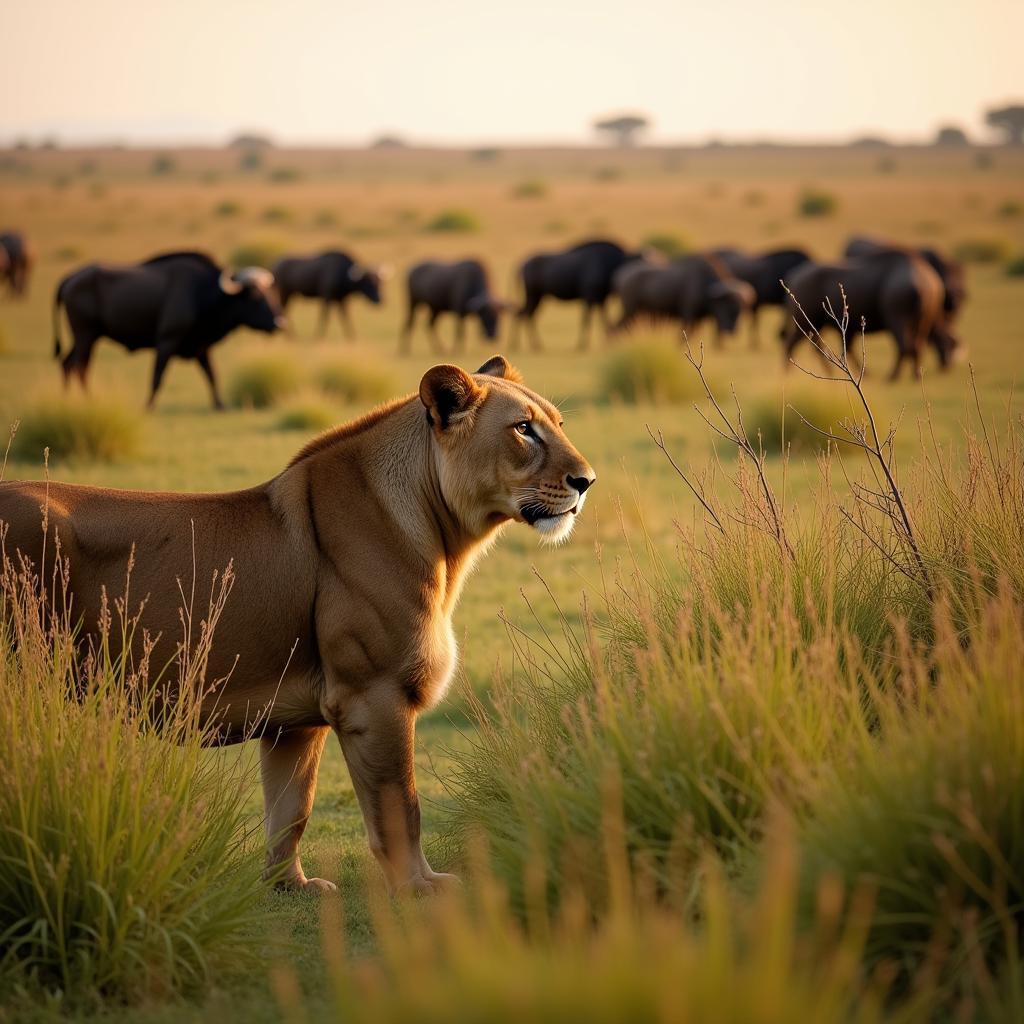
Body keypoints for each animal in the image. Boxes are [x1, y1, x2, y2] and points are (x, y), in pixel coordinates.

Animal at [54, 250, 286, 407]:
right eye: (255, 297)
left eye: (269, 293)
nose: (279, 323)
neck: (203, 294)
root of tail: (70, 278)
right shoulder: (166, 342)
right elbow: (157, 377)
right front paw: (148, 406)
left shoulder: (201, 347)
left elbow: (212, 375)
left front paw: (220, 405)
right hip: (86, 335)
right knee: (77, 366)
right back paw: (83, 400)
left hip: (87, 337)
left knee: (70, 364)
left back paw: (72, 400)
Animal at [610, 253, 757, 342]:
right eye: (727, 305)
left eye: (742, 309)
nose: (732, 330)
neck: (705, 284)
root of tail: (621, 274)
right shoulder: (688, 316)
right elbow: (683, 336)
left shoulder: (698, 320)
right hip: (630, 310)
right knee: (614, 328)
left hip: (637, 313)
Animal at [782, 248, 950, 380]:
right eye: (949, 345)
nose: (947, 365)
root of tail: (795, 276)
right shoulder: (897, 321)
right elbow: (907, 347)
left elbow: (916, 347)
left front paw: (915, 374)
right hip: (806, 322)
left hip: (814, 325)